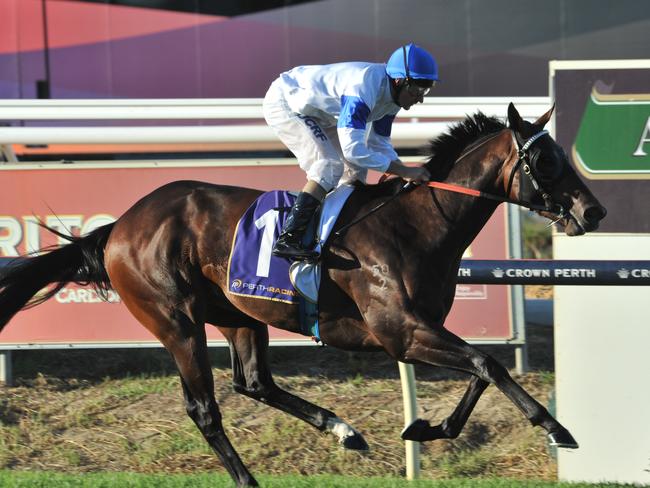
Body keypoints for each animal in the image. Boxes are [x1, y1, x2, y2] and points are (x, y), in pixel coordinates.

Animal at [2, 103, 604, 484]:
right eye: (545, 159)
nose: (592, 211)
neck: (416, 224)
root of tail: (119, 228)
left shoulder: (420, 331)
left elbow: (483, 369)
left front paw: (426, 427)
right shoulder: (401, 333)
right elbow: (488, 363)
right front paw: (557, 428)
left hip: (239, 313)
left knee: (254, 383)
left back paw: (344, 430)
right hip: (175, 321)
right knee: (205, 408)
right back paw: (249, 479)